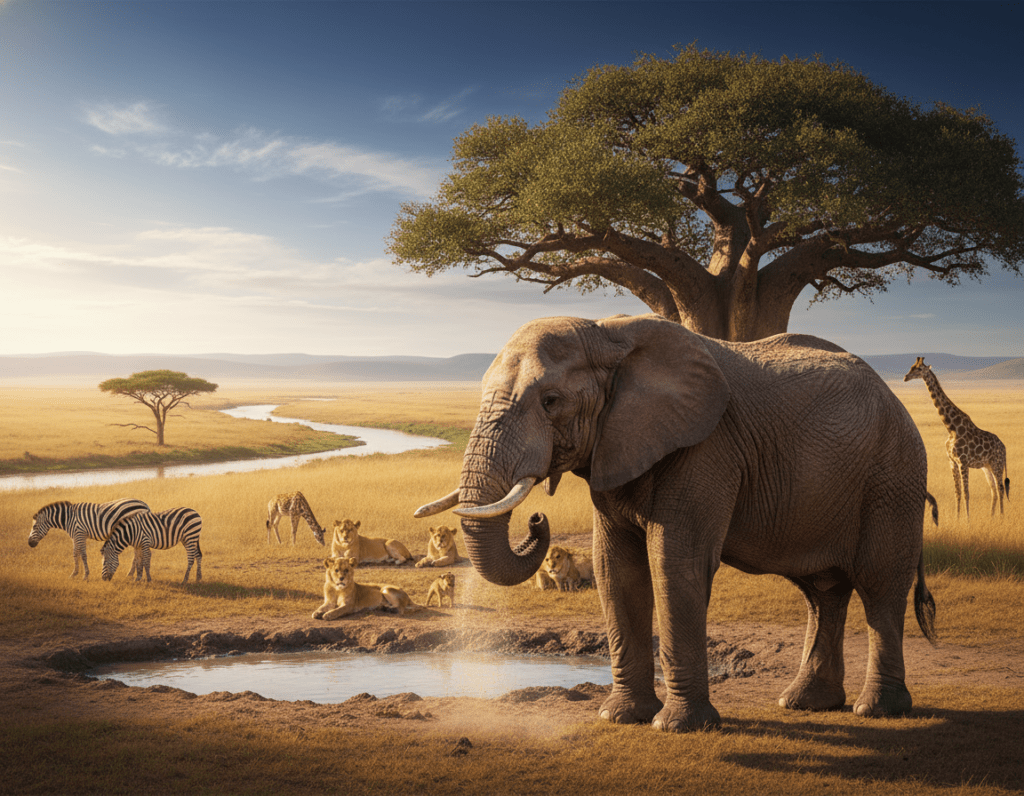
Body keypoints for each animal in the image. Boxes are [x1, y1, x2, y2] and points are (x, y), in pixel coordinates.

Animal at [415, 314, 937, 732]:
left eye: (550, 401)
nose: (537, 520)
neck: (608, 335)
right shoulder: (615, 444)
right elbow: (616, 570)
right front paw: (621, 717)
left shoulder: (707, 448)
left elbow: (674, 564)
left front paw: (678, 726)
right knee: (822, 591)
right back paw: (804, 703)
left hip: (893, 478)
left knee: (880, 586)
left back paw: (877, 710)